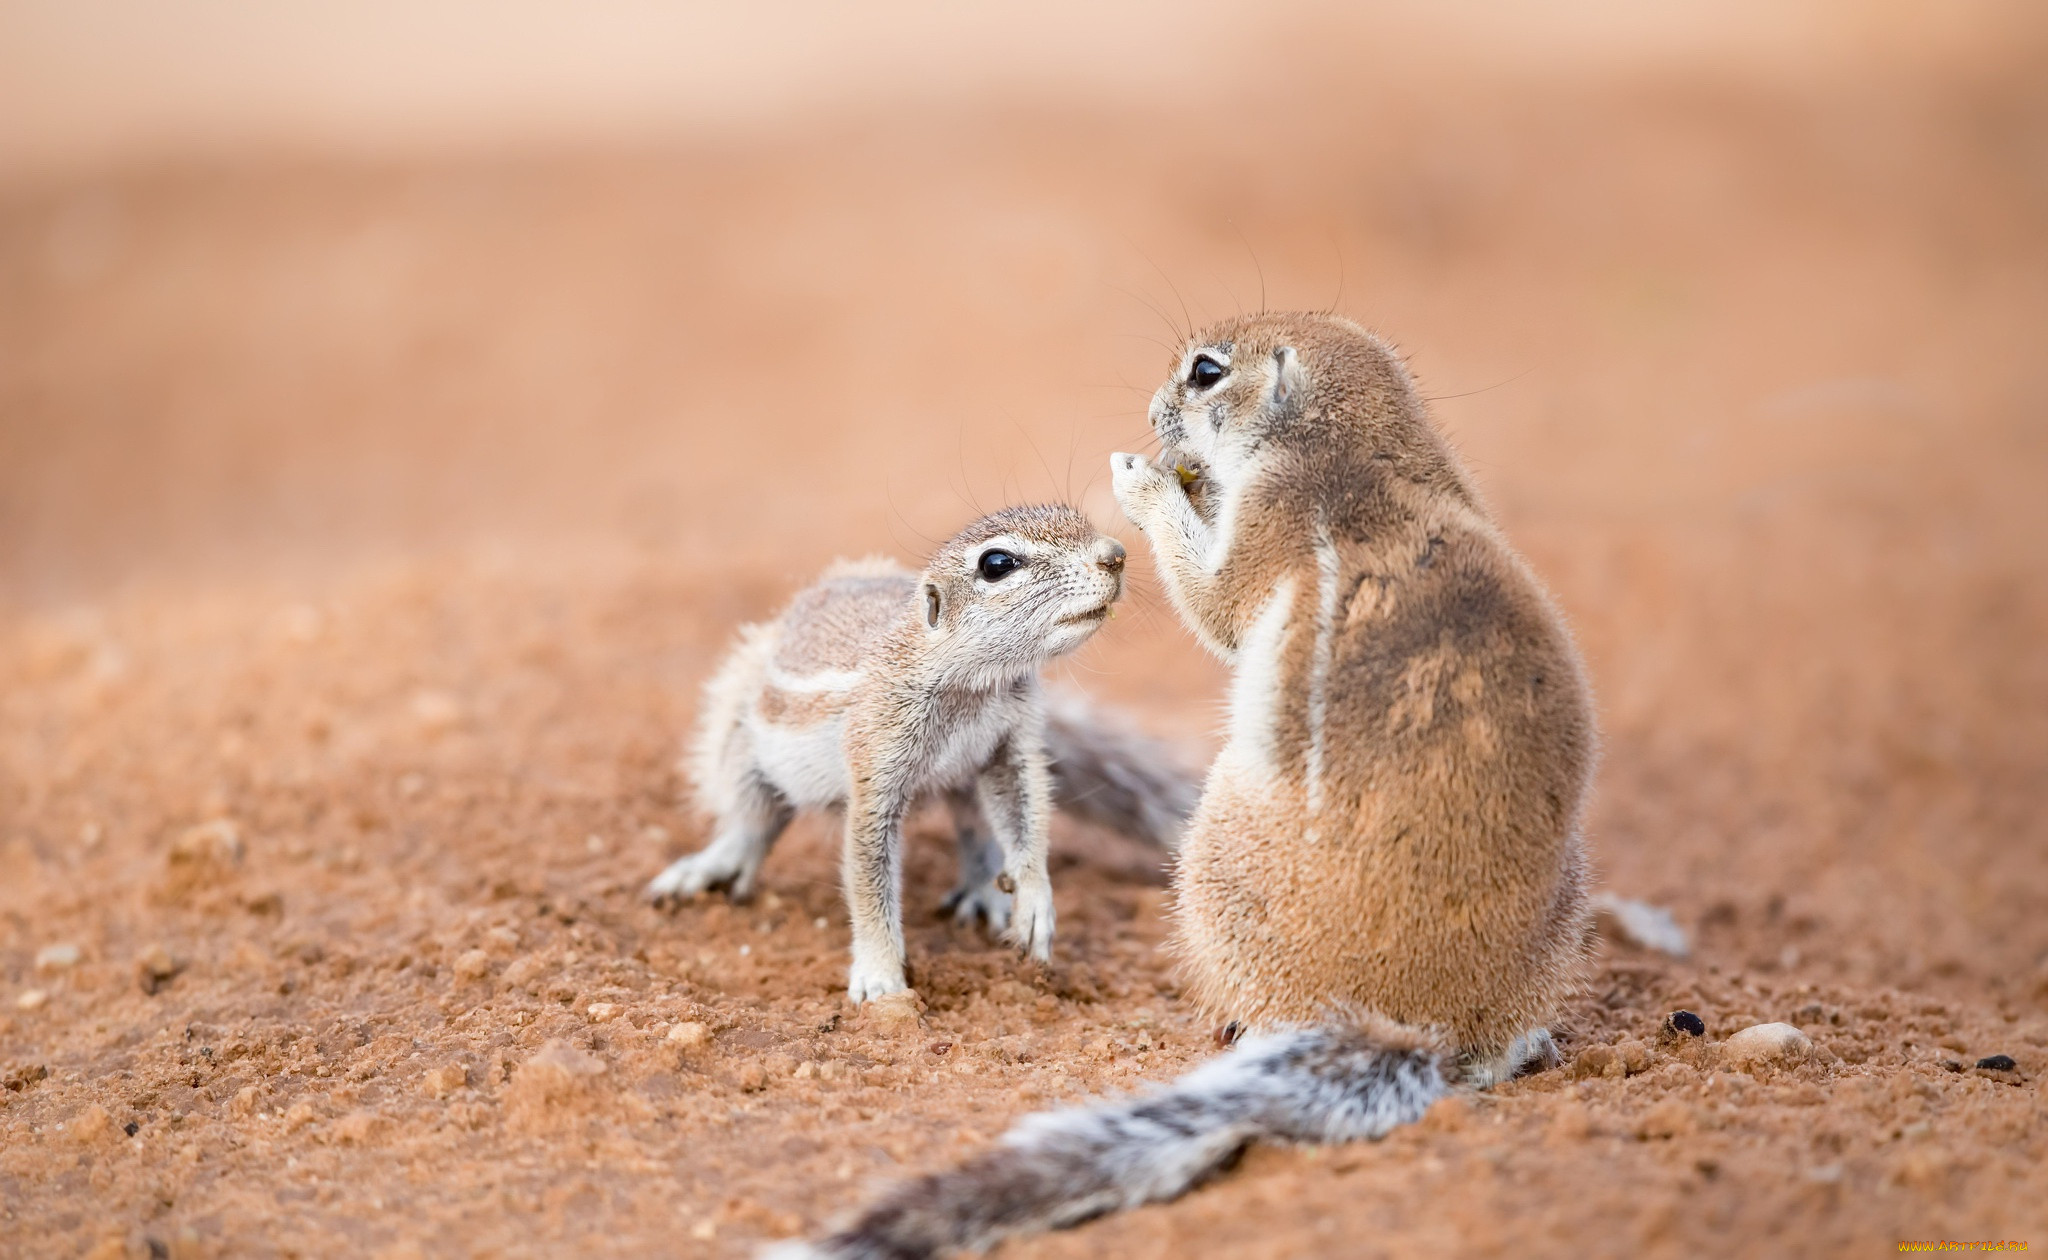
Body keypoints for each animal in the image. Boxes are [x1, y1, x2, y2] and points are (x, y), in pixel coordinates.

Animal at [647, 501, 1196, 1003]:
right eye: (998, 564)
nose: (1115, 554)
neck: (969, 685)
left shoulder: (1010, 747)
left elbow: (1027, 820)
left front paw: (1035, 904)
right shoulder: (877, 760)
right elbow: (868, 879)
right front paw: (881, 979)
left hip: (966, 779)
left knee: (976, 831)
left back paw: (984, 892)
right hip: (741, 732)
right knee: (753, 817)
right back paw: (711, 864)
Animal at [782, 315, 1597, 1260]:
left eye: (1205, 373)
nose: (1149, 414)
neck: (1375, 451)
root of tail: (1417, 1025)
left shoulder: (1273, 521)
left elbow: (1216, 603)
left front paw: (1141, 480)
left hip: (1207, 861)